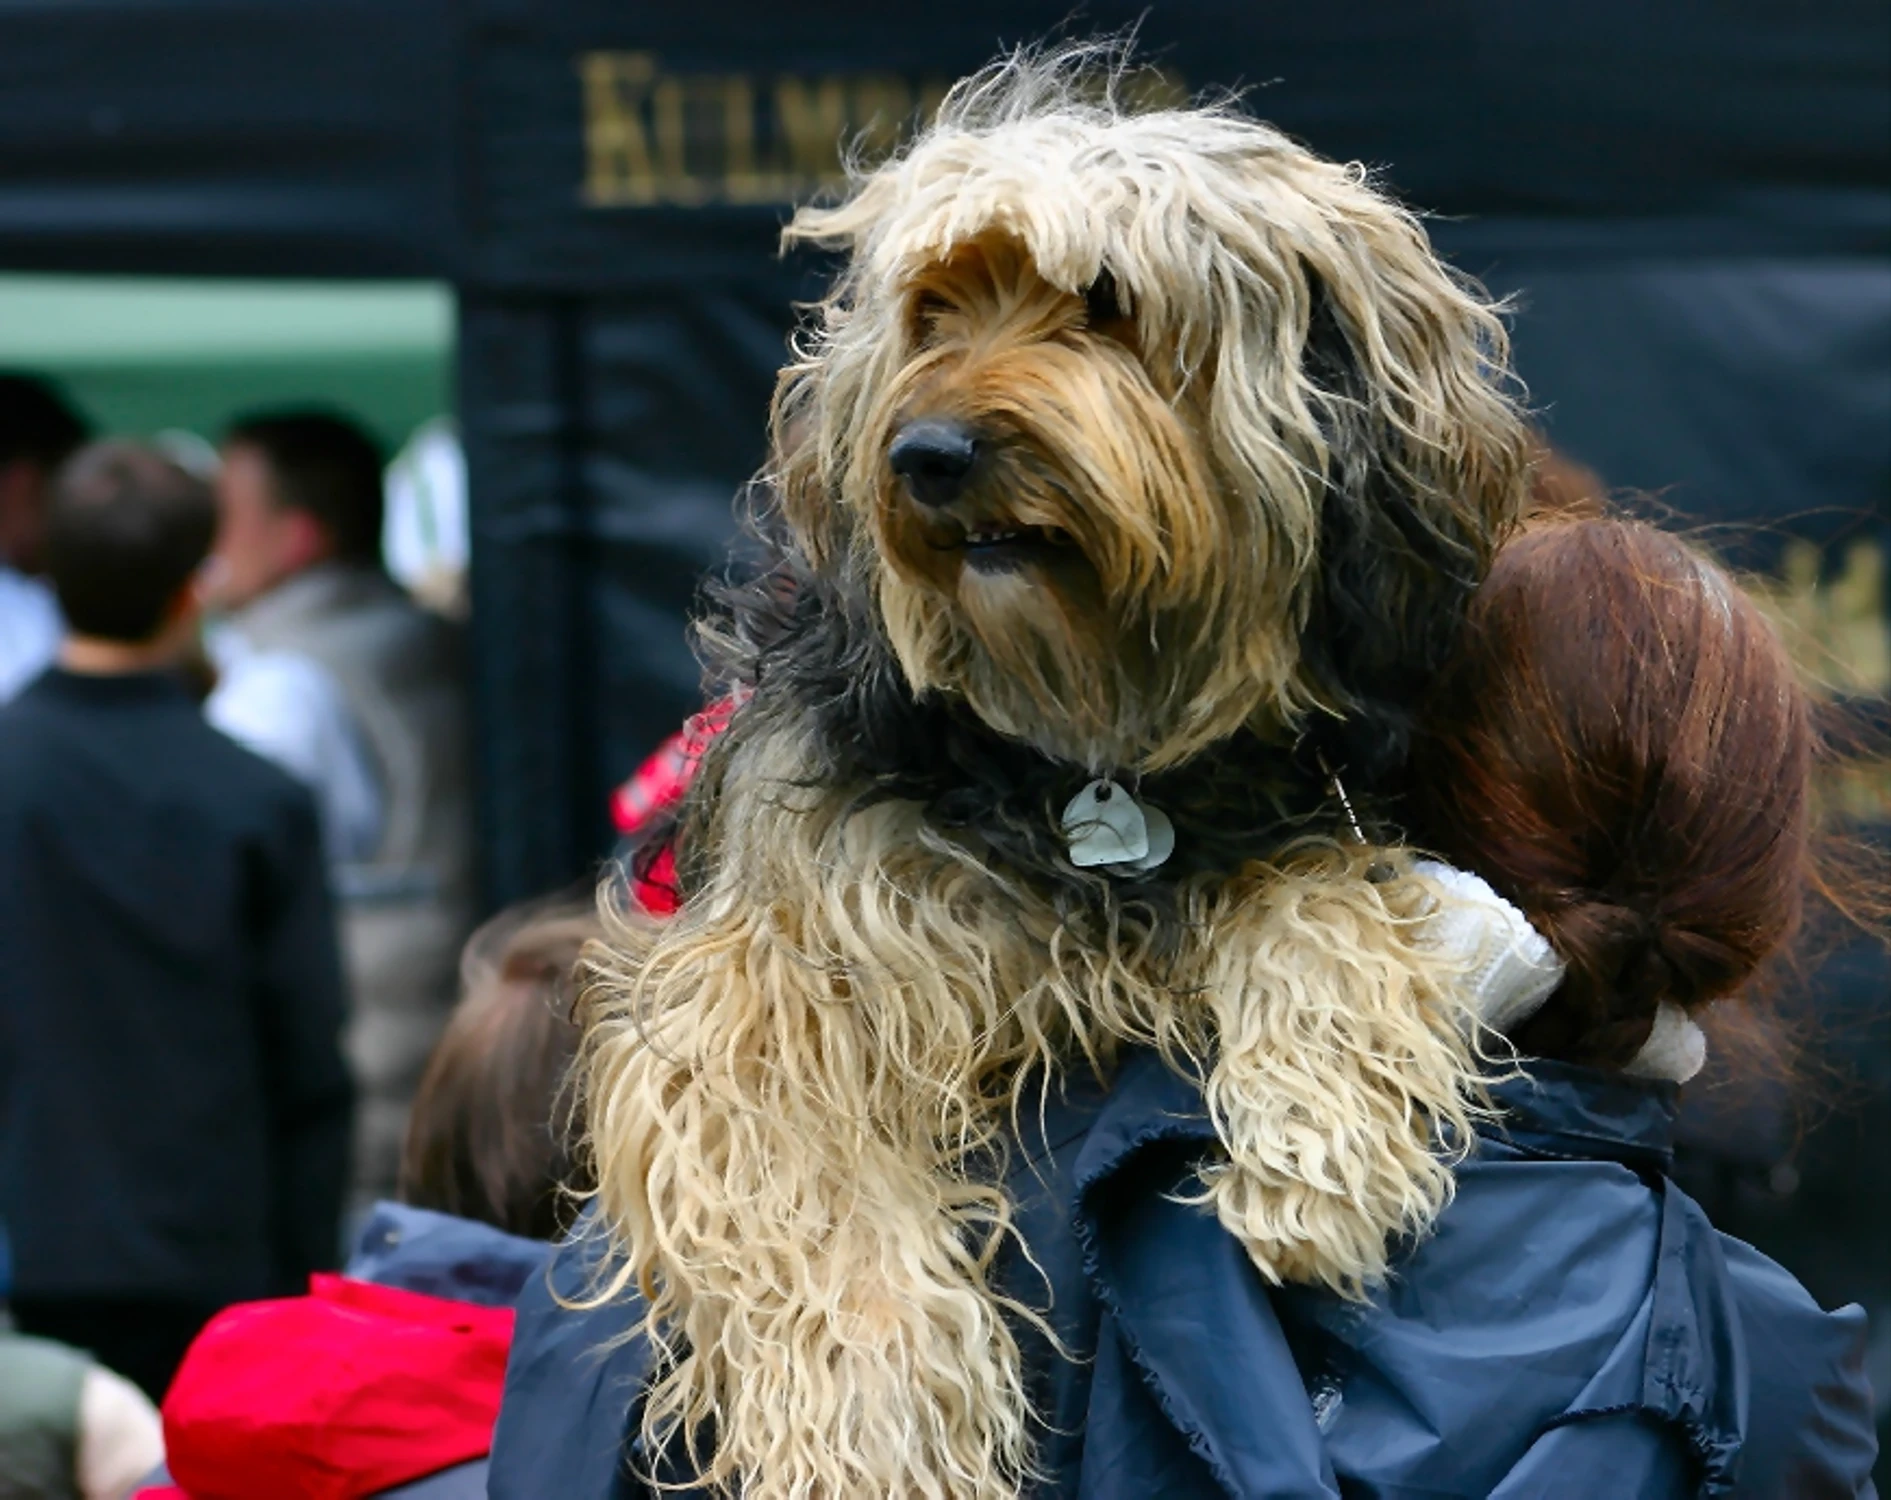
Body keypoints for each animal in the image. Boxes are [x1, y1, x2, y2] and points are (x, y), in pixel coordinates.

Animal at [586, 46, 1535, 1498]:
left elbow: (1323, 903)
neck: (1085, 744)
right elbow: (817, 1201)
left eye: (1105, 303)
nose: (924, 457)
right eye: (930, 309)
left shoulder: (1294, 812)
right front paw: (882, 1437)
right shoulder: (760, 989)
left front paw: (1316, 1147)